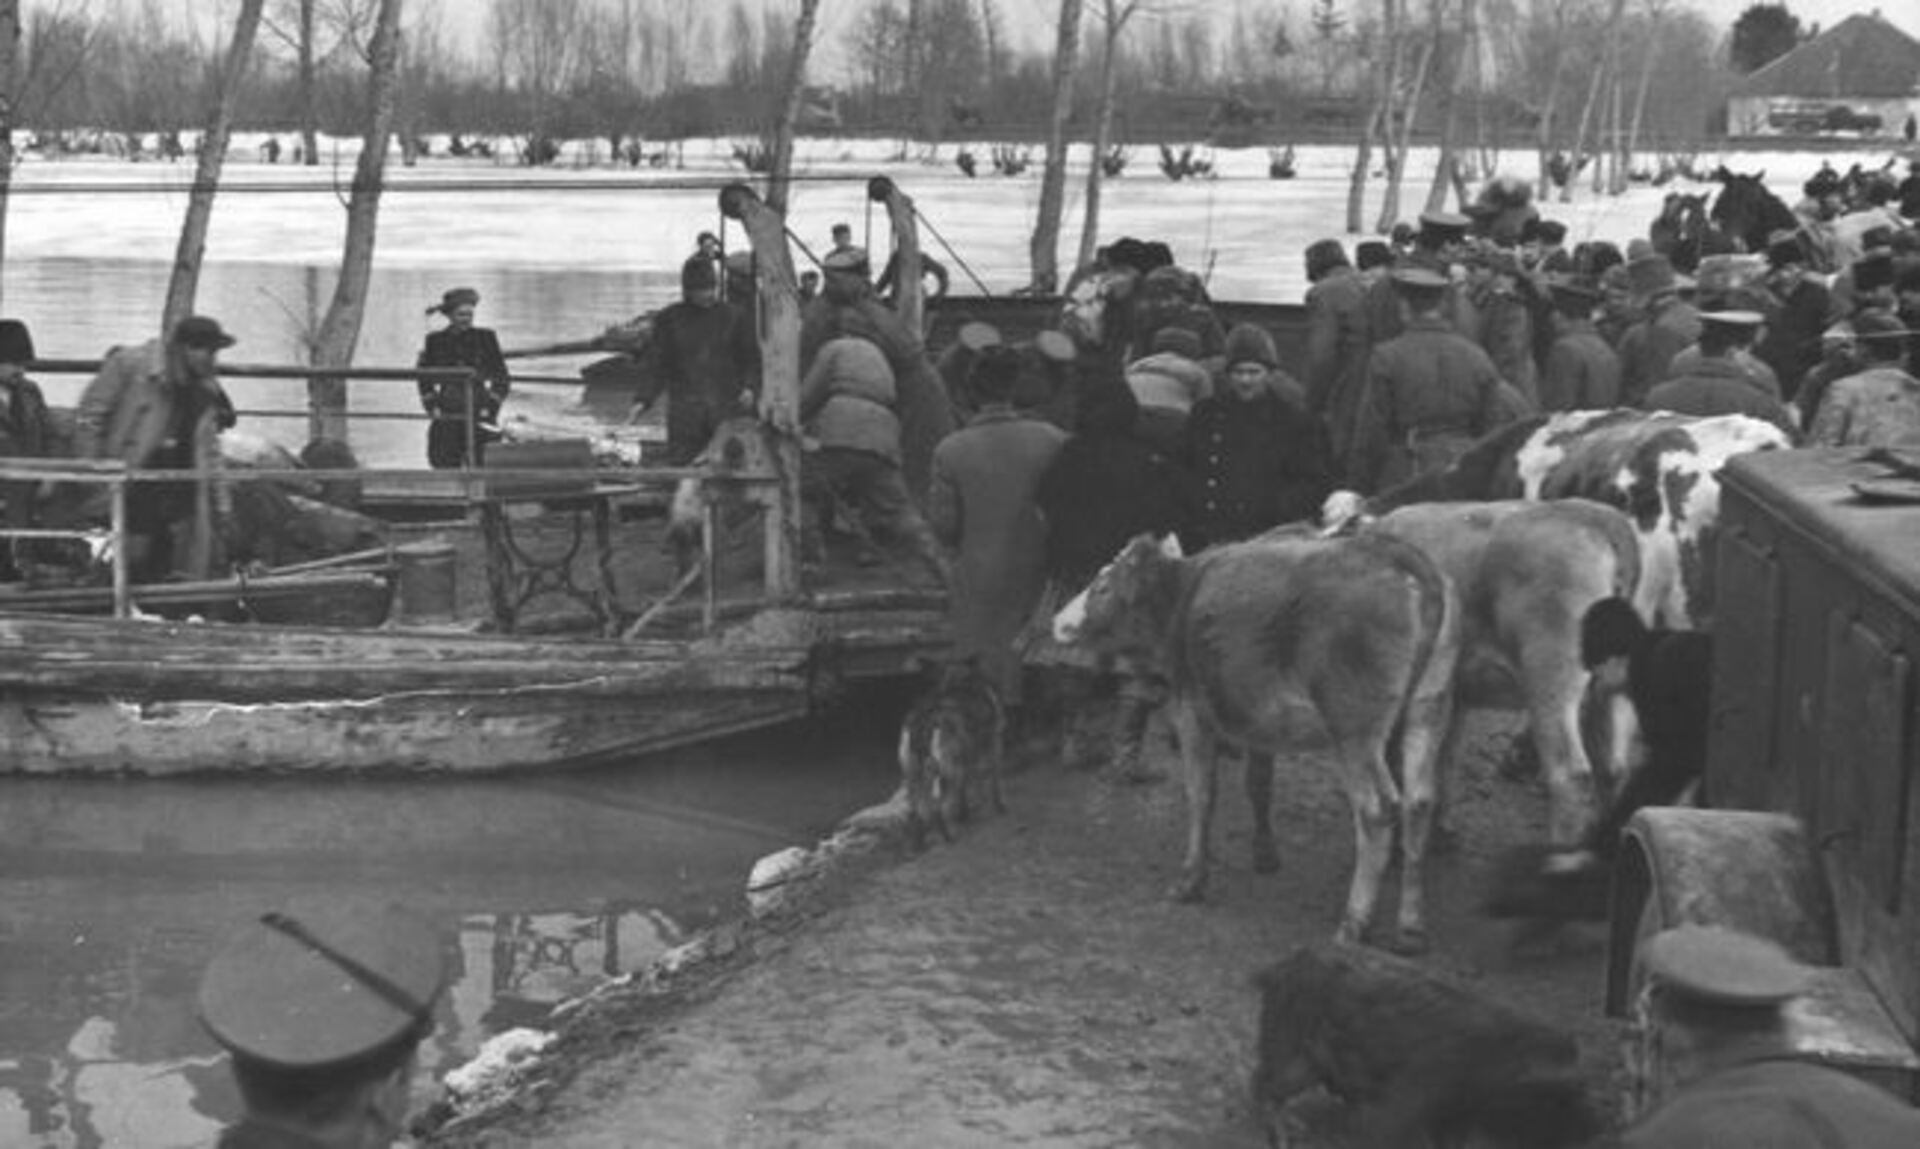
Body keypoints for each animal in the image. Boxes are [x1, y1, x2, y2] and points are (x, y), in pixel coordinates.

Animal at [897, 655, 1006, 849]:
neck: (955, 680)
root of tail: (925, 721)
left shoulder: (966, 760)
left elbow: (965, 791)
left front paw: (965, 814)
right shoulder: (994, 744)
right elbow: (994, 782)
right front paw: (999, 806)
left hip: (915, 777)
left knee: (918, 812)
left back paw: (919, 844)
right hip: (948, 773)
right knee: (939, 809)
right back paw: (949, 837)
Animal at [1053, 531, 1459, 953]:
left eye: (1102, 587)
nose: (1058, 621)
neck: (1181, 599)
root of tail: (1394, 551)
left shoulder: (1192, 710)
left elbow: (1201, 794)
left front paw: (1190, 881)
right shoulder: (1259, 724)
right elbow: (1257, 783)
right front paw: (1262, 856)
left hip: (1354, 727)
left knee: (1377, 810)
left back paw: (1353, 925)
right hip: (1429, 706)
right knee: (1418, 803)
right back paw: (1410, 927)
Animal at [1343, 499, 1641, 845]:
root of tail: (1590, 513)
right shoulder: (1455, 694)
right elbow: (1446, 755)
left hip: (1551, 682)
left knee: (1570, 775)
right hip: (1604, 687)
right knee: (1612, 769)